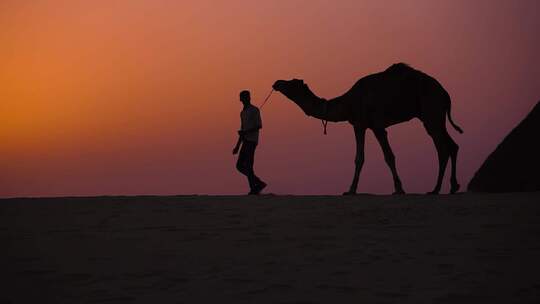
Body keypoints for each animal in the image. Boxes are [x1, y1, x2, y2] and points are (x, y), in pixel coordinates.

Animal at [274, 63, 464, 195]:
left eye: (291, 83)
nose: (276, 82)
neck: (348, 102)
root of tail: (445, 93)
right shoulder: (363, 125)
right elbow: (366, 158)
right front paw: (353, 190)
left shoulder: (372, 125)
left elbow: (383, 156)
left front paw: (396, 189)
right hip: (434, 116)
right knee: (451, 145)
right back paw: (451, 187)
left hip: (431, 111)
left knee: (442, 148)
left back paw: (436, 189)